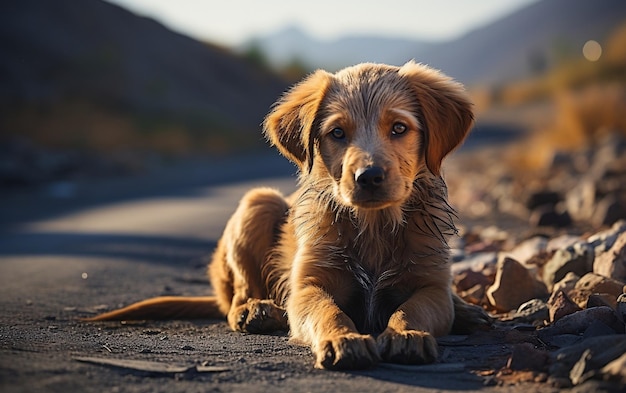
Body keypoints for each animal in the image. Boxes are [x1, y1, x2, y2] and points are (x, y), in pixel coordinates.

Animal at [86, 62, 488, 370]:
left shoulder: (431, 285)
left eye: (400, 128)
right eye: (337, 133)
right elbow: (328, 311)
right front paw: (344, 340)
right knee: (238, 297)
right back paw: (258, 311)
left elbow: (412, 308)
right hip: (258, 202)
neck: (373, 226)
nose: (369, 177)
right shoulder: (307, 286)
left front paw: (406, 334)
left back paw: (469, 311)